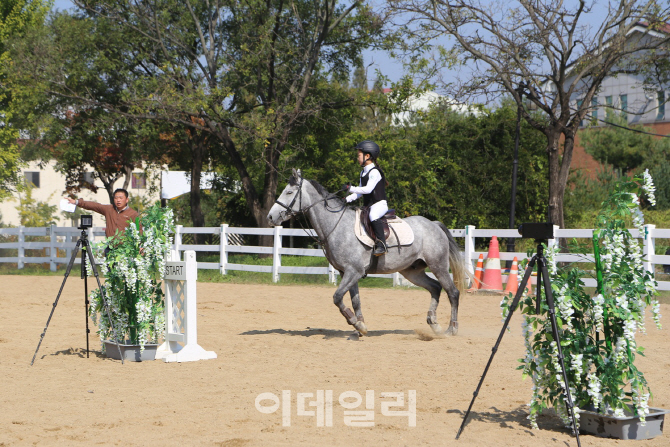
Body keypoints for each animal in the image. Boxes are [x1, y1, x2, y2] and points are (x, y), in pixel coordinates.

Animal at [266, 170, 470, 338]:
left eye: (289, 192)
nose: (270, 217)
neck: (336, 225)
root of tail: (433, 224)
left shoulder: (353, 271)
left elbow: (337, 297)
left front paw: (355, 323)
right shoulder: (348, 273)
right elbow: (355, 301)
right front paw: (360, 327)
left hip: (438, 265)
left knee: (452, 292)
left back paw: (451, 329)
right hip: (412, 271)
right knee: (435, 288)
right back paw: (434, 324)